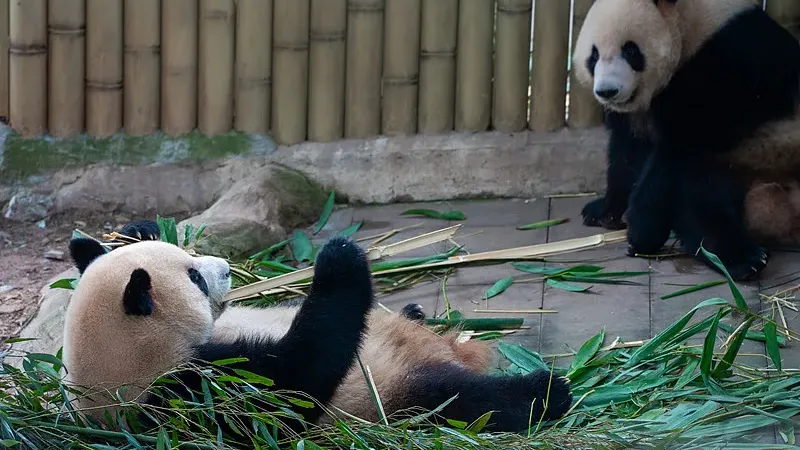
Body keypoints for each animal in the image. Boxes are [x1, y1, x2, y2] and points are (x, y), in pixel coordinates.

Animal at [61, 219, 572, 439]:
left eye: (192, 264)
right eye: (194, 278)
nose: (223, 267)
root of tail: (452, 350)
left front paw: (136, 228)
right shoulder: (193, 397)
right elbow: (297, 381)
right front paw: (339, 258)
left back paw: (414, 313)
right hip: (392, 395)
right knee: (462, 400)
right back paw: (546, 390)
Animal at [571, 0, 800, 280]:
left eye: (630, 50)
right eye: (593, 56)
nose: (608, 91)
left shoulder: (732, 62)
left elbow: (680, 146)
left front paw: (641, 227)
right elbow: (627, 153)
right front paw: (605, 211)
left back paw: (744, 259)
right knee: (701, 208)